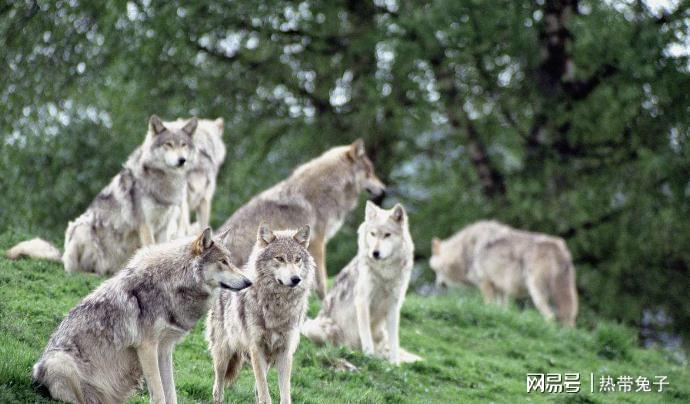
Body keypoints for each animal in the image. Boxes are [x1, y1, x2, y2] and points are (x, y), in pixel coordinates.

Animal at [6, 115, 196, 276]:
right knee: (75, 271)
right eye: (168, 144)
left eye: (183, 145)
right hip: (82, 227)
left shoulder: (165, 225)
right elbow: (150, 245)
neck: (164, 183)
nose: (182, 160)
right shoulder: (145, 223)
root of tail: (62, 255)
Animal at [32, 227, 251, 404]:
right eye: (223, 262)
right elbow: (160, 395)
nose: (249, 281)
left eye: (230, 261)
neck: (172, 284)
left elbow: (171, 394)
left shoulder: (164, 350)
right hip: (60, 362)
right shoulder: (147, 347)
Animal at [300, 204, 420, 364]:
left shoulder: (393, 306)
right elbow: (365, 334)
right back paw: (350, 351)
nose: (375, 253)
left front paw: (394, 363)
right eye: (373, 234)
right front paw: (368, 356)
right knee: (337, 344)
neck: (385, 273)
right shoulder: (363, 301)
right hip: (315, 327)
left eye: (387, 235)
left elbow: (394, 340)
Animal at [430, 219, 576, 326]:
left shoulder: (485, 283)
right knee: (568, 318)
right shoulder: (501, 289)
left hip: (537, 292)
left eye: (436, 270)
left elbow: (489, 305)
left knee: (550, 316)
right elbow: (502, 310)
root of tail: (558, 249)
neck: (463, 250)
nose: (438, 284)